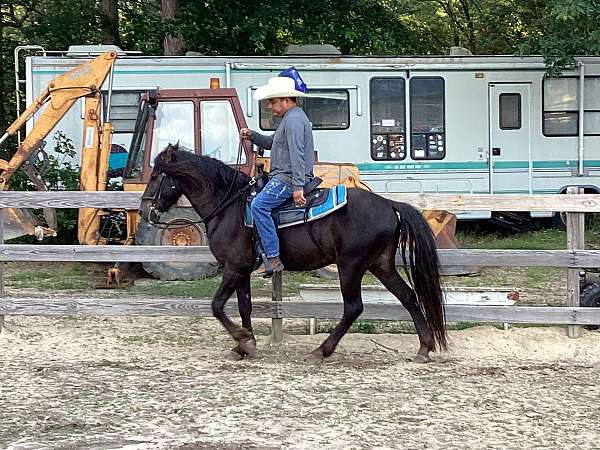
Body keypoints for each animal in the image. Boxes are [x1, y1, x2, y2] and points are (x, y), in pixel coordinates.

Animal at [141, 146, 448, 364]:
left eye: (155, 176)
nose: (146, 210)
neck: (229, 207)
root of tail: (388, 204)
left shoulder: (233, 268)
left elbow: (217, 306)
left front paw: (244, 340)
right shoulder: (242, 271)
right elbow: (244, 306)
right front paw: (244, 345)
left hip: (351, 266)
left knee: (353, 308)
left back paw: (321, 351)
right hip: (381, 264)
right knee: (408, 297)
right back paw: (424, 348)